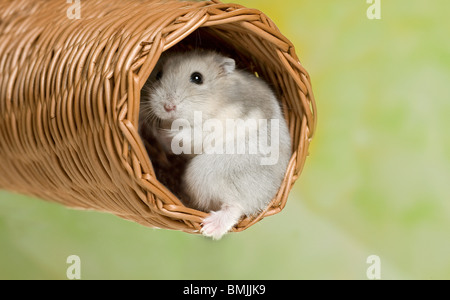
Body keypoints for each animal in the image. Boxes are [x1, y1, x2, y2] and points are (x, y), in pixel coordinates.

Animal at [139, 50, 292, 240]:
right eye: (158, 74)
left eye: (197, 78)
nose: (168, 107)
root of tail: (266, 198)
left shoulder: (219, 123)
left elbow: (190, 135)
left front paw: (166, 133)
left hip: (205, 173)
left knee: (236, 206)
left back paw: (209, 228)